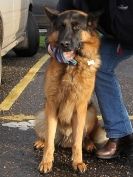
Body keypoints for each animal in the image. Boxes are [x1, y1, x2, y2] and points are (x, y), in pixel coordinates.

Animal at [34, 7, 106, 174]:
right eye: (61, 26)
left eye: (76, 27)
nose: (64, 44)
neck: (71, 67)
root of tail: (64, 138)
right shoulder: (52, 106)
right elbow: (50, 140)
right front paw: (46, 161)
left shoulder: (80, 108)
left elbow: (77, 141)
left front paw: (78, 162)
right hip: (42, 114)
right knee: (48, 136)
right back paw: (41, 141)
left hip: (90, 114)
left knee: (84, 137)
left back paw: (89, 144)